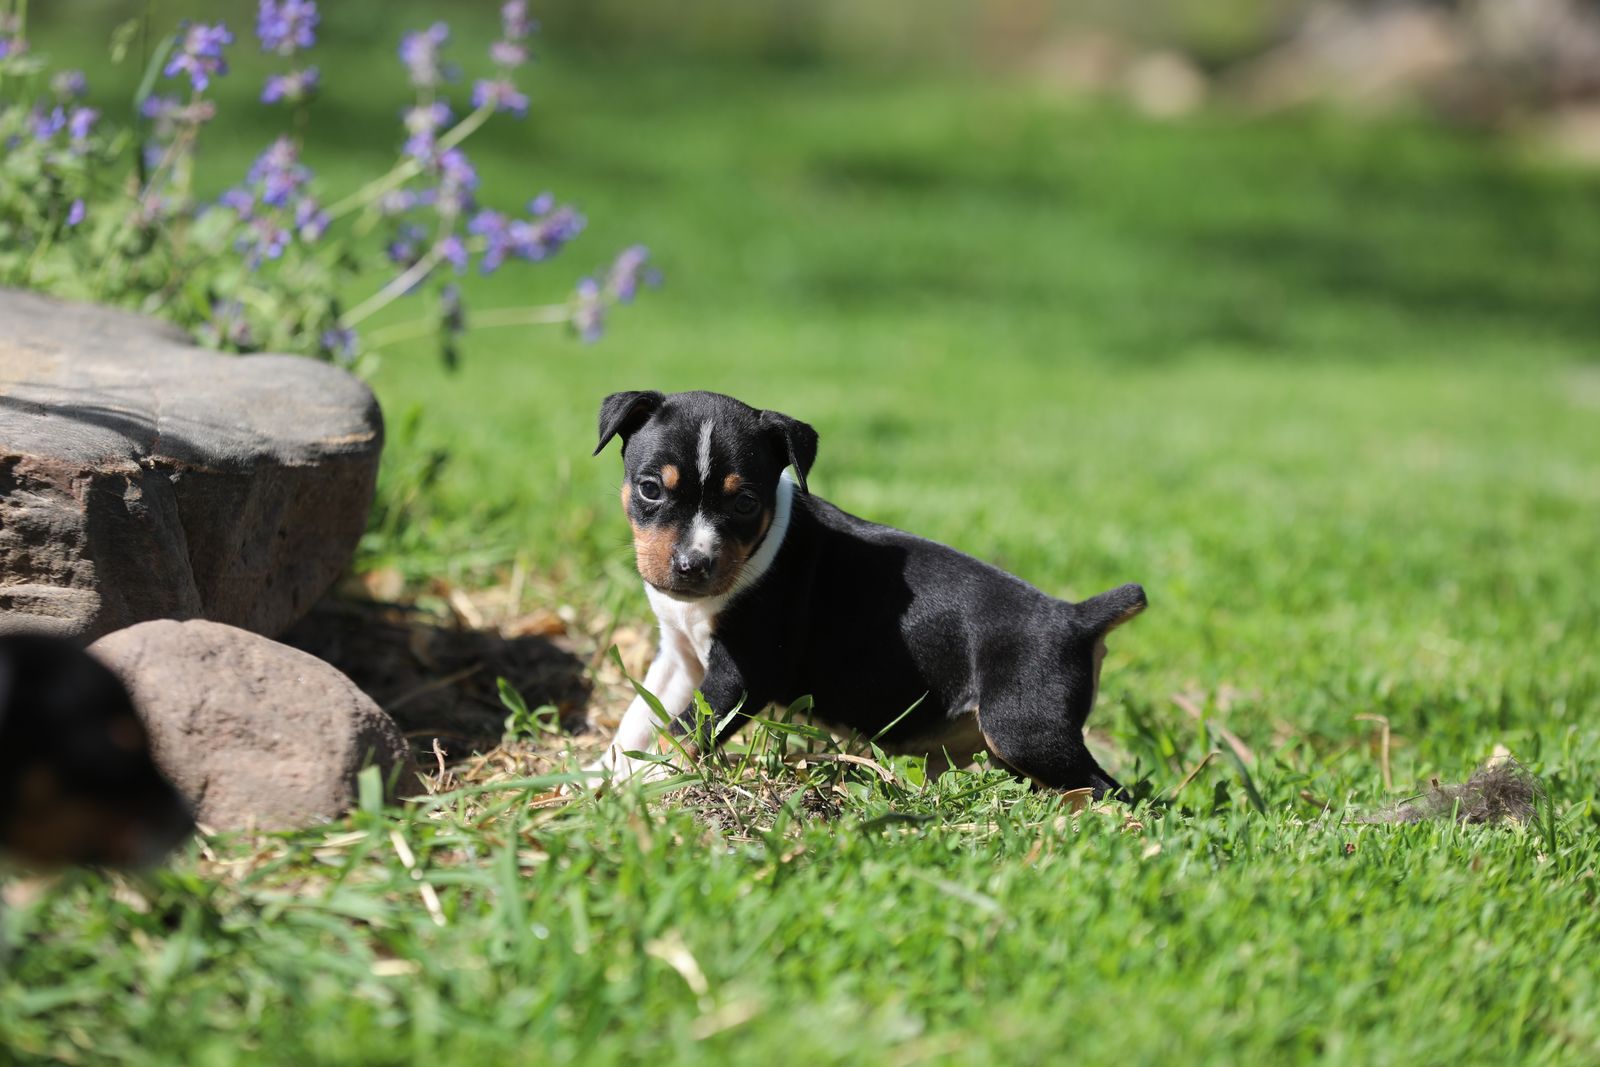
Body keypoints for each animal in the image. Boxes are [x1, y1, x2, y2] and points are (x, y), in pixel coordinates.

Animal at [591, 390, 1147, 798]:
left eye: (745, 502)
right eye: (650, 489)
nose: (692, 566)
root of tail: (1076, 617)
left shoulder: (743, 674)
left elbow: (687, 731)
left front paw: (651, 781)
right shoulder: (679, 658)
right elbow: (640, 719)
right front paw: (600, 774)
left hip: (1023, 727)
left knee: (1107, 789)